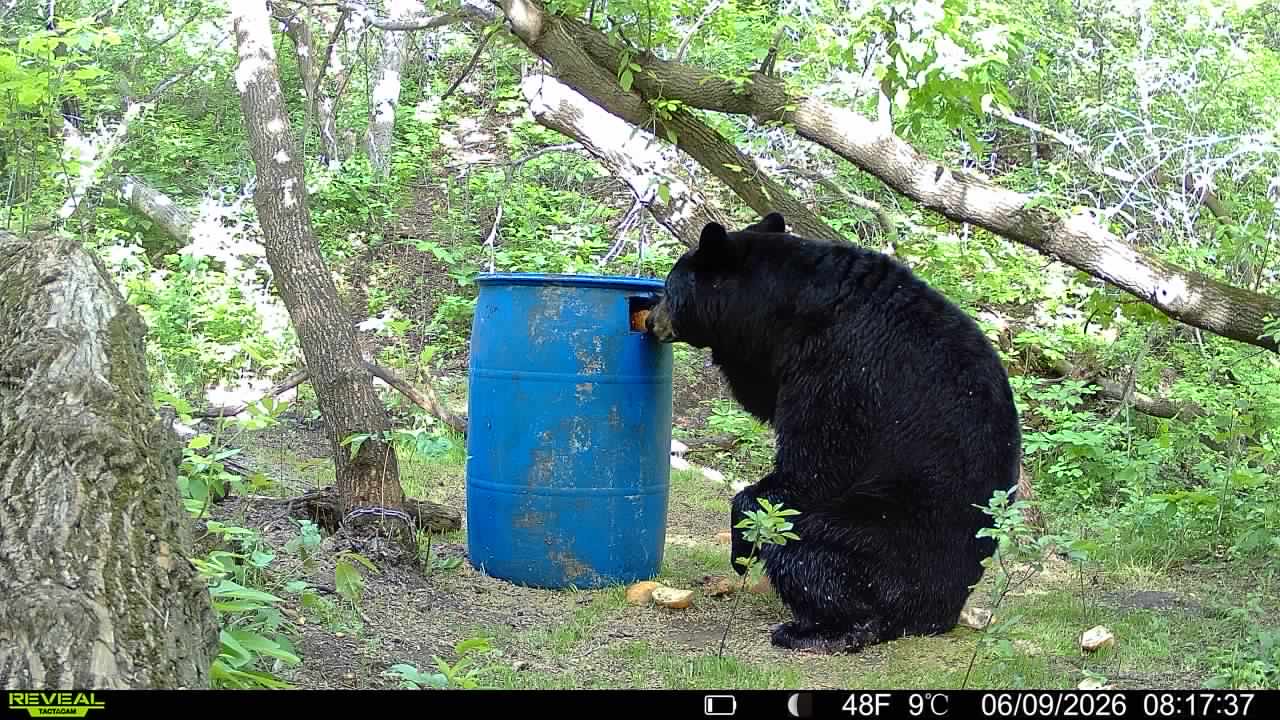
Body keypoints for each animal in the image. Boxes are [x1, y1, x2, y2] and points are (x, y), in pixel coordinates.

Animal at [644, 211, 1022, 654]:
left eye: (668, 287)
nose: (650, 320)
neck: (789, 306)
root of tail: (937, 614)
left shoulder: (840, 369)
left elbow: (816, 466)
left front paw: (742, 545)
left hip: (881, 543)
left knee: (809, 549)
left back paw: (817, 629)